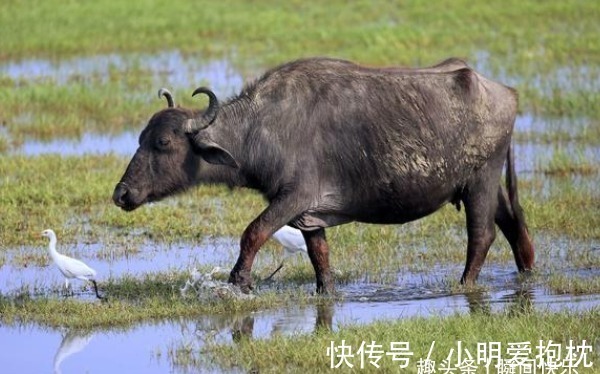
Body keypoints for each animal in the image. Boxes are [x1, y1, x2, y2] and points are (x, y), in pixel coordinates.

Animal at [112, 57, 536, 294]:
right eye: (141, 138)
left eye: (164, 142)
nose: (122, 193)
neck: (261, 129)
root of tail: (505, 92)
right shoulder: (310, 215)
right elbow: (320, 256)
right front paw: (324, 290)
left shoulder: (293, 197)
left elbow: (253, 232)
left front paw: (239, 282)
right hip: (486, 184)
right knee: (514, 223)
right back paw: (527, 272)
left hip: (480, 180)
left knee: (481, 235)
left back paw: (465, 284)